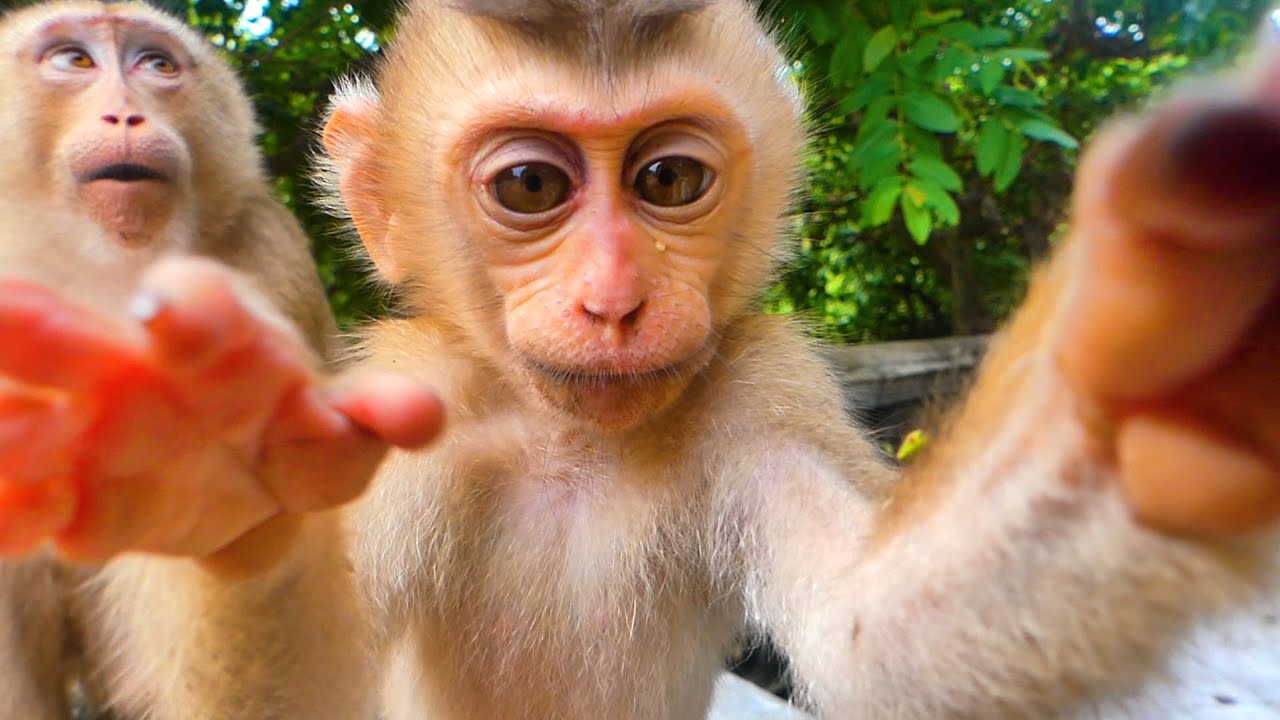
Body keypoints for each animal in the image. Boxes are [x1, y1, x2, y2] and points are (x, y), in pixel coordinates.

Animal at [318, 0, 1280, 717]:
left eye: (668, 179)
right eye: (531, 186)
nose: (615, 301)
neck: (569, 441)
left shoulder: (761, 379)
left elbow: (875, 638)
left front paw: (1149, 386)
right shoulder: (413, 387)